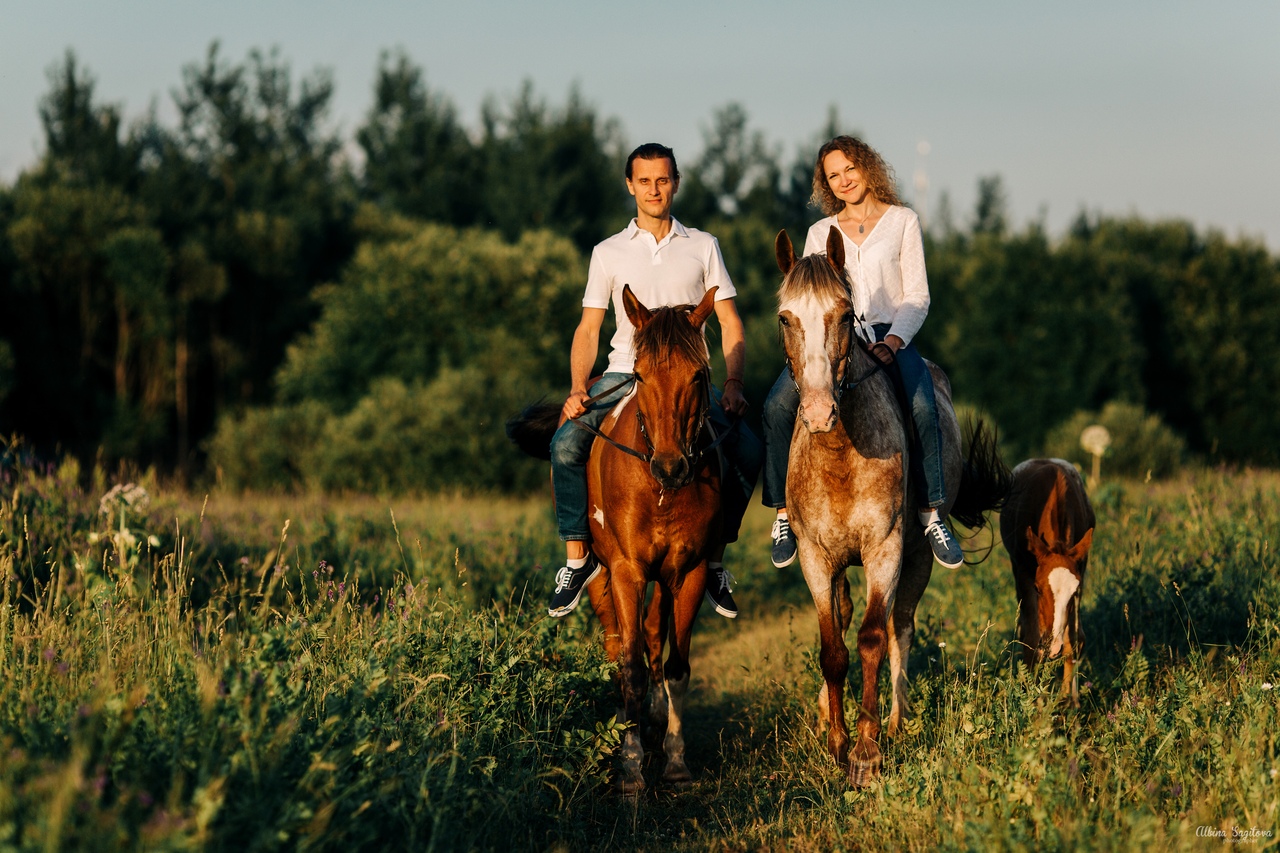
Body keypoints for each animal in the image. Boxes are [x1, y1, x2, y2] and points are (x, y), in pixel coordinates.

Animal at [773, 224, 1003, 783]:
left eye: (842, 314)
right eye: (786, 318)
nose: (818, 412)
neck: (840, 456)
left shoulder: (885, 551)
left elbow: (874, 639)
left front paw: (867, 751)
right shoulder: (817, 559)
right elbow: (833, 649)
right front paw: (835, 740)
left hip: (917, 558)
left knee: (902, 627)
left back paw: (897, 721)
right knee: (845, 618)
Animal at [1003, 455, 1095, 701]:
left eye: (1074, 591)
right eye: (1038, 588)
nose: (1053, 647)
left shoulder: (1081, 569)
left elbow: (1075, 638)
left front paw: (1069, 701)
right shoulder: (1025, 575)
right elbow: (1031, 639)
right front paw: (1031, 698)